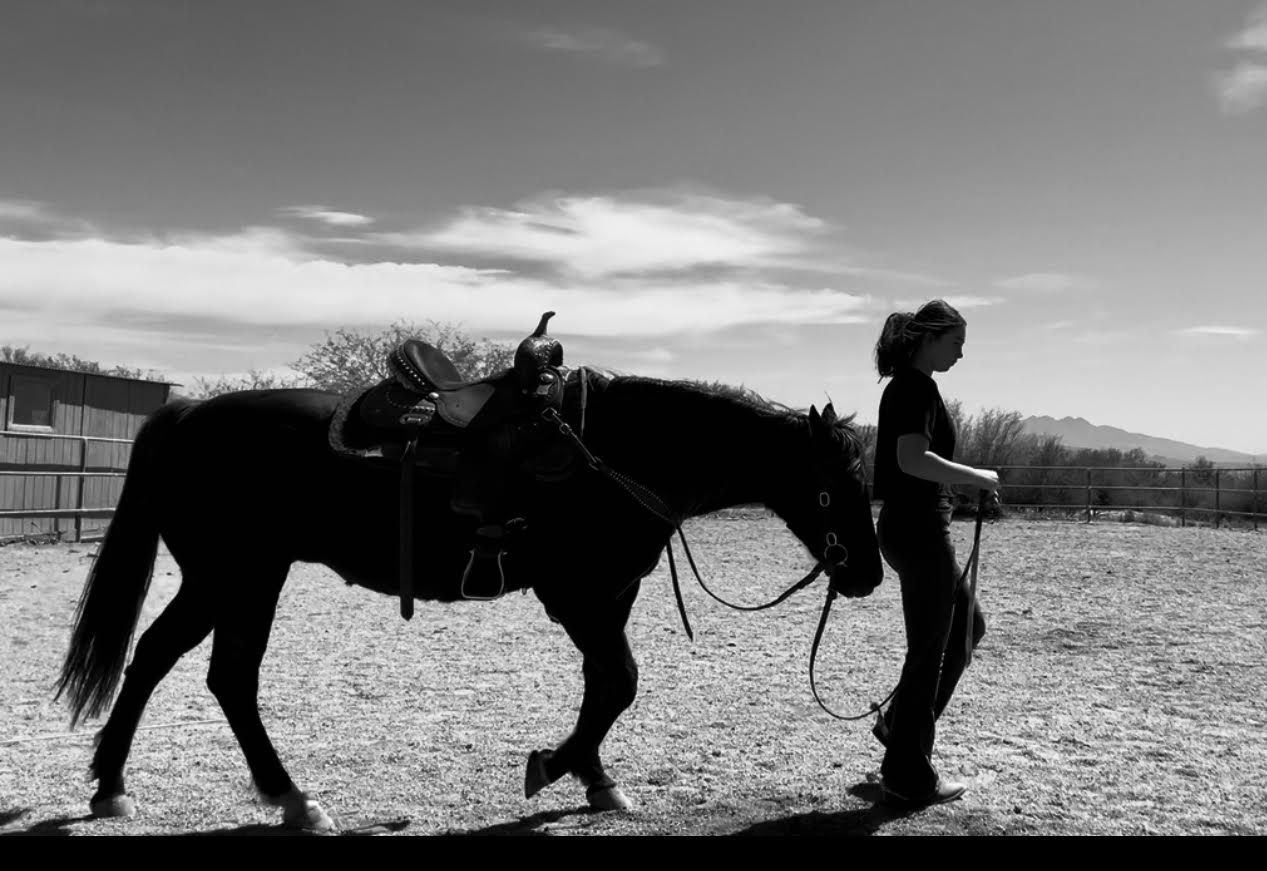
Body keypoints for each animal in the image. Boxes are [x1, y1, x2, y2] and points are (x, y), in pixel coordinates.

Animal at [55, 367, 882, 831]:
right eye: (834, 485)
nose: (870, 574)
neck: (615, 454)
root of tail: (188, 415)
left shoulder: (610, 594)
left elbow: (605, 684)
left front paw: (594, 777)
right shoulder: (576, 594)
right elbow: (619, 681)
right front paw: (552, 765)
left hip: (227, 577)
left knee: (171, 660)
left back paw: (124, 786)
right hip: (242, 574)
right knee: (216, 671)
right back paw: (285, 797)